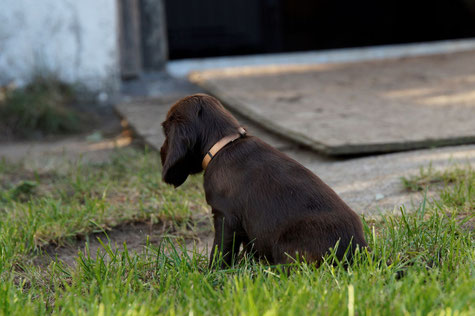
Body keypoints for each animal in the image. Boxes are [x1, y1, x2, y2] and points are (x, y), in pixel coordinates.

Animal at [160, 93, 368, 266]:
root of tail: (356, 251)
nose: (161, 153)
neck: (225, 143)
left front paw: (212, 271)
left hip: (287, 243)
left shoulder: (225, 217)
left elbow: (221, 251)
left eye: (165, 132)